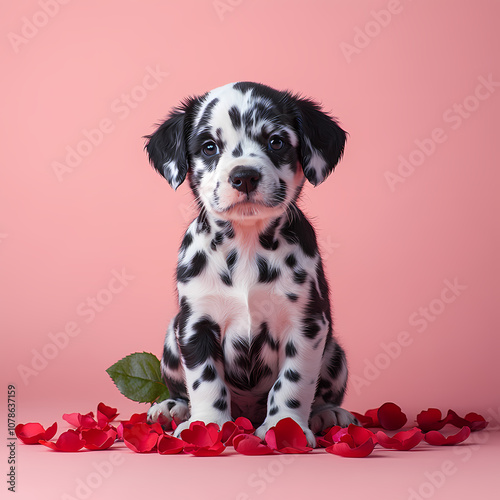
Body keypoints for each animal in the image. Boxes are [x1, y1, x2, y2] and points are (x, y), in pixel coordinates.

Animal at [144, 83, 356, 450]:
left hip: (336, 353)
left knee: (324, 394)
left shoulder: (306, 325)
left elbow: (294, 382)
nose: (244, 176)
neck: (246, 246)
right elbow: (205, 382)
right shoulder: (196, 325)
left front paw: (286, 425)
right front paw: (206, 424)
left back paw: (327, 412)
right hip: (172, 338)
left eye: (276, 142)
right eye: (209, 147)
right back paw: (172, 406)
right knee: (180, 387)